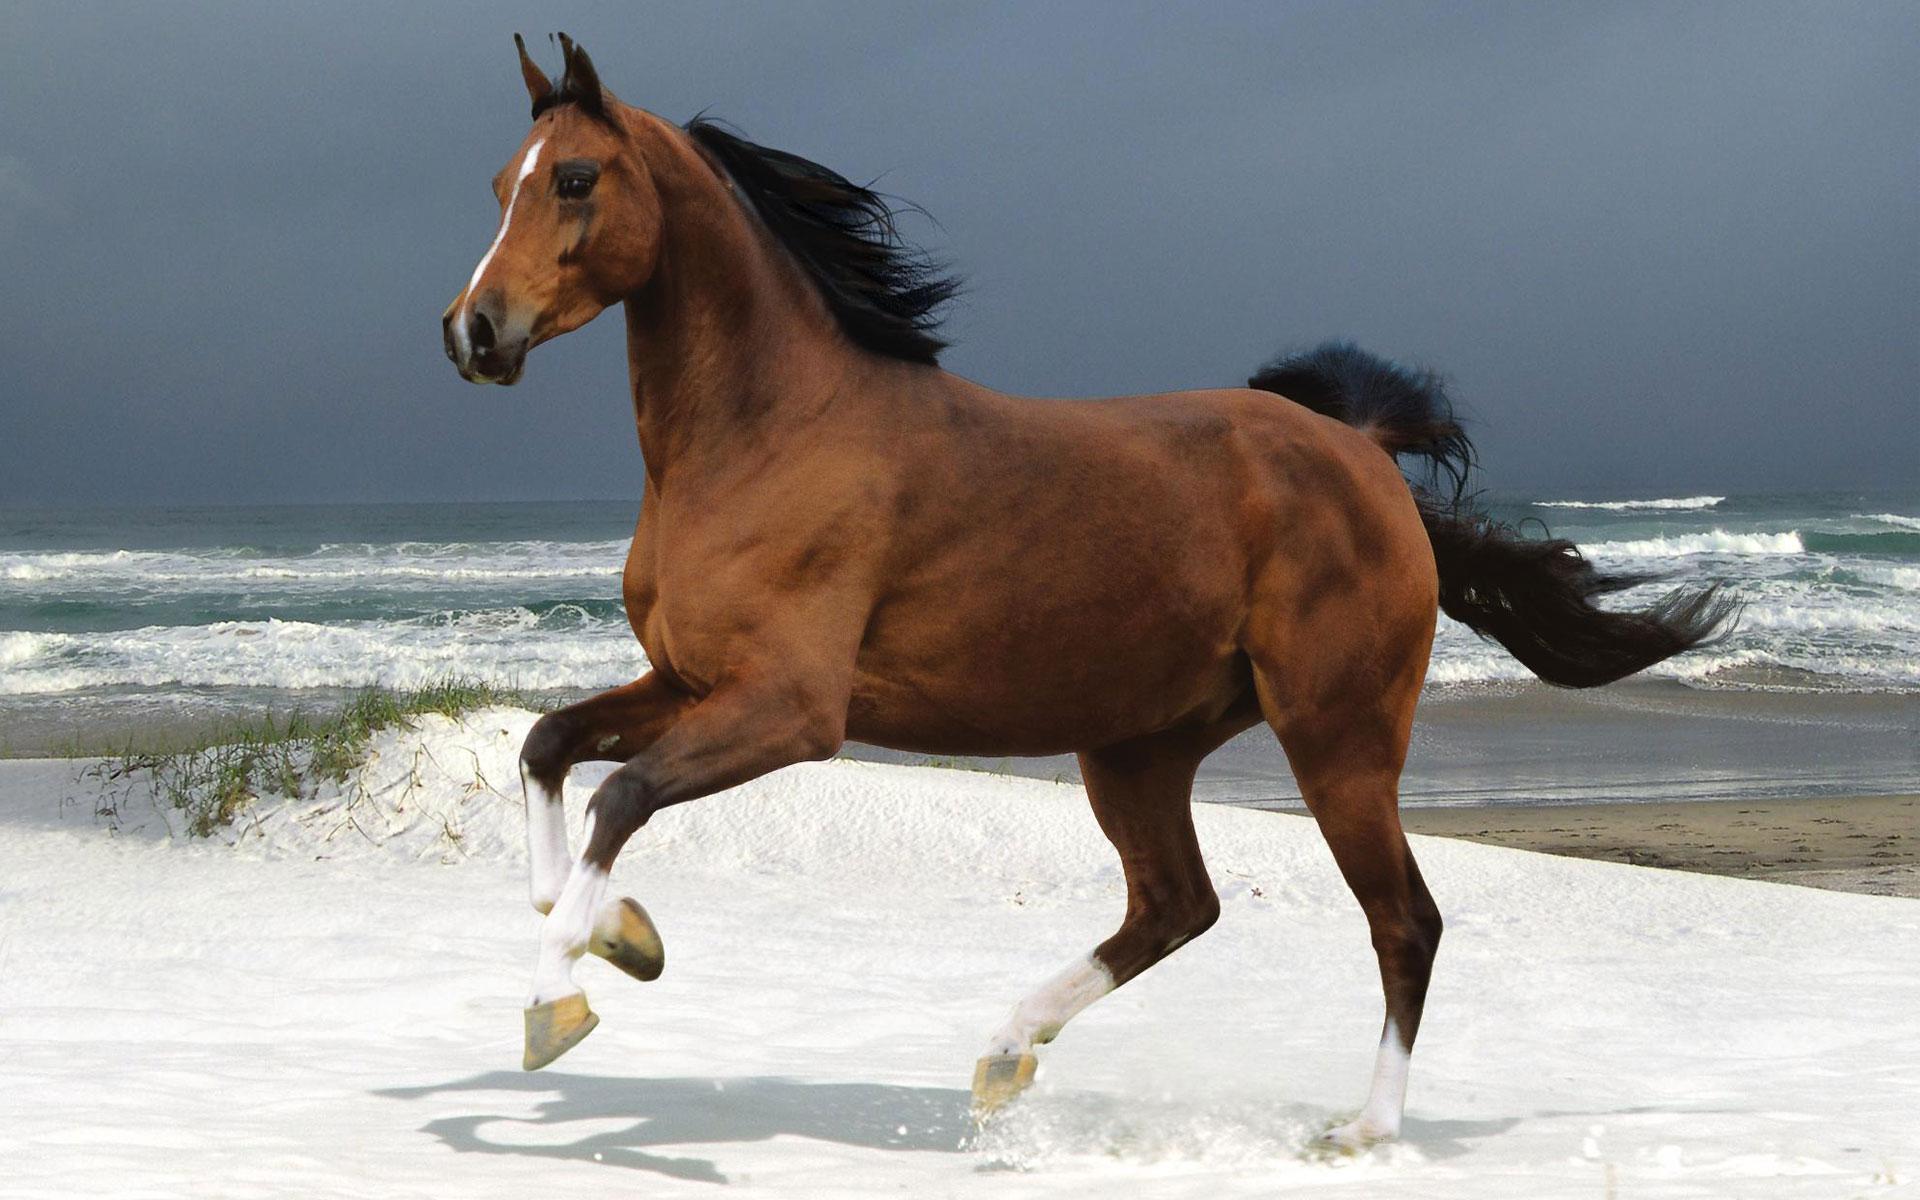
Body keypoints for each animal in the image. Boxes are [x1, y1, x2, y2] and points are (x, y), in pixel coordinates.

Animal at [441, 34, 1733, 1148]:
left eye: (574, 179)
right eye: (501, 182)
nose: (473, 332)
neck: (767, 433)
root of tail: (1360, 452)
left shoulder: (792, 711)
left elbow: (621, 797)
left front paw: (559, 1001)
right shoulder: (687, 679)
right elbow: (550, 749)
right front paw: (617, 936)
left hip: (1338, 737)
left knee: (1402, 921)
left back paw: (1361, 1130)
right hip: (1139, 747)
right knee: (1178, 905)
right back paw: (1005, 1053)